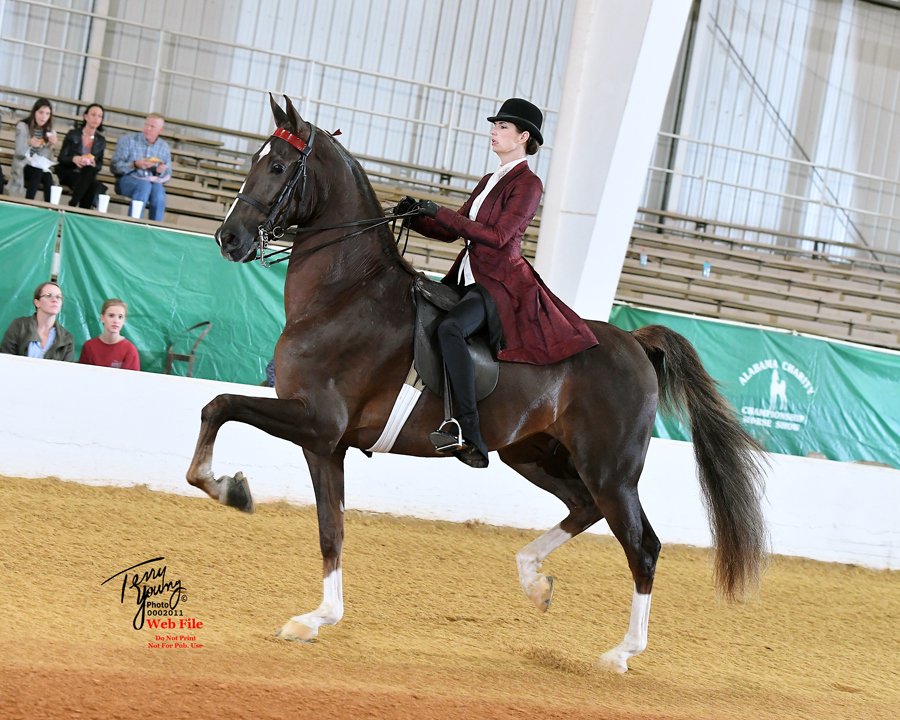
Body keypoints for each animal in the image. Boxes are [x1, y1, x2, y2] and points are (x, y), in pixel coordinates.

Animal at [187, 95, 768, 673]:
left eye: (278, 167)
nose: (229, 239)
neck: (344, 295)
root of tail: (633, 343)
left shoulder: (317, 422)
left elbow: (219, 404)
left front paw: (227, 488)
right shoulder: (325, 444)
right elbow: (331, 529)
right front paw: (315, 618)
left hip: (612, 470)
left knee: (642, 545)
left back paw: (621, 652)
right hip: (531, 453)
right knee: (583, 507)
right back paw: (534, 581)